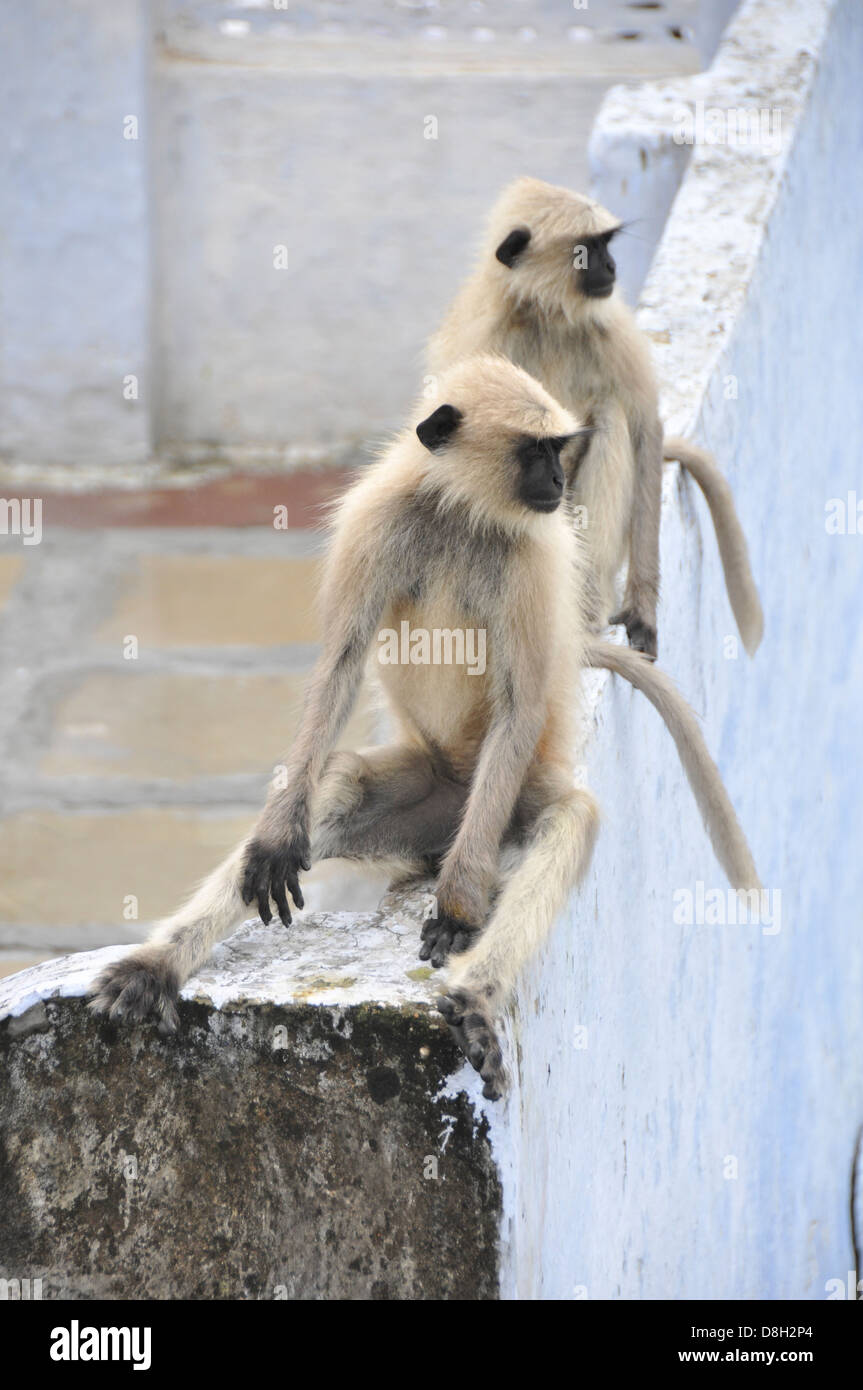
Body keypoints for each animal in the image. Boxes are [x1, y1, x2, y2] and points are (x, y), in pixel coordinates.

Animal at [91, 355, 755, 1095]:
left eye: (558, 451)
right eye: (535, 452)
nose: (558, 483)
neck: (460, 511)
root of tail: (458, 799)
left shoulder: (532, 556)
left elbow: (521, 704)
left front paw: (459, 911)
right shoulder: (375, 520)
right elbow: (340, 664)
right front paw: (275, 836)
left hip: (499, 806)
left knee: (567, 820)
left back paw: (476, 998)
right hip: (430, 800)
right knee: (340, 782)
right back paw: (159, 963)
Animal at [428, 176, 761, 664]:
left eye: (607, 244)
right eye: (588, 248)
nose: (611, 266)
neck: (546, 312)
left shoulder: (609, 324)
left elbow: (644, 429)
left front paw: (641, 612)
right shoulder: (484, 335)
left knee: (610, 415)